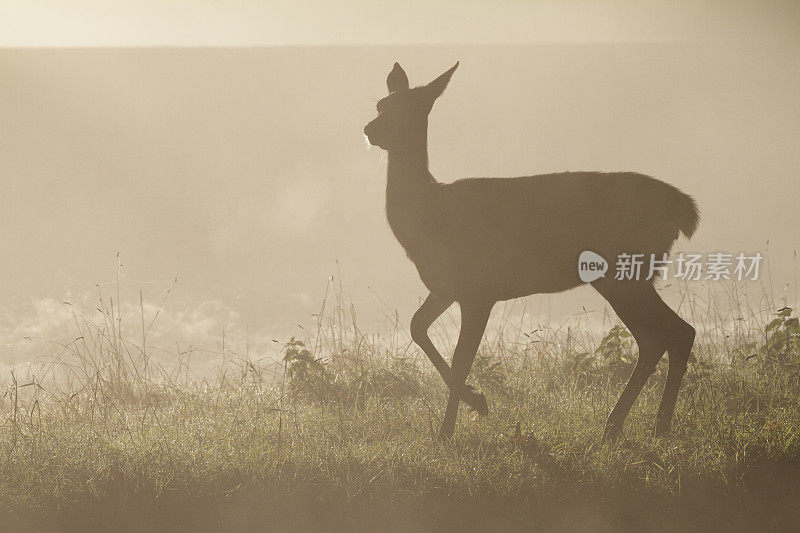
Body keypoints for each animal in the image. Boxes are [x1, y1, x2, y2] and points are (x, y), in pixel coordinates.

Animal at [364, 62, 700, 438]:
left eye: (412, 109)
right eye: (380, 104)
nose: (369, 129)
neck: (431, 218)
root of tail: (684, 209)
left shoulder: (479, 288)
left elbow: (461, 358)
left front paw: (451, 428)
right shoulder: (447, 287)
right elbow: (416, 326)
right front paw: (470, 405)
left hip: (623, 272)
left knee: (671, 333)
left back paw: (650, 426)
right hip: (625, 275)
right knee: (663, 336)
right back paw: (625, 426)